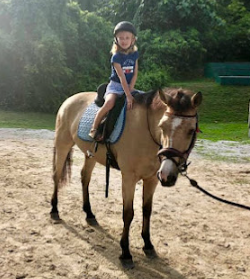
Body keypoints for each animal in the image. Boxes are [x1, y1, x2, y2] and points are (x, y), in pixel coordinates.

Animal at [50, 88, 201, 270]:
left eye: (191, 130)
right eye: (162, 126)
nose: (168, 175)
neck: (146, 130)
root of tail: (69, 100)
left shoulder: (152, 179)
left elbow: (147, 210)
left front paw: (148, 245)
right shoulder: (129, 177)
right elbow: (128, 213)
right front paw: (126, 253)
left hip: (91, 155)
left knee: (84, 178)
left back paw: (89, 214)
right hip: (62, 144)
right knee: (56, 175)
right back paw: (54, 210)